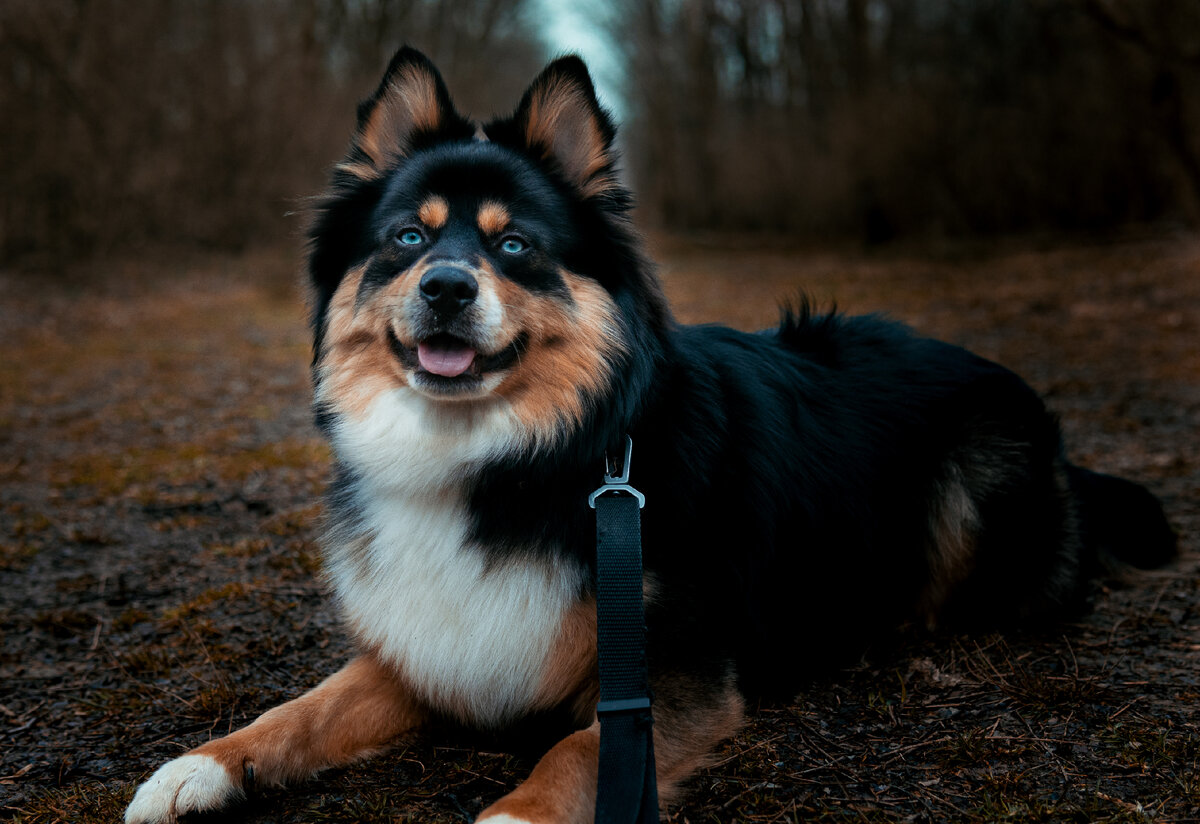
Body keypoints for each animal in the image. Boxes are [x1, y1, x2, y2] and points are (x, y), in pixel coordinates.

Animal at [126, 46, 1176, 824]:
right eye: (408, 239)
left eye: (514, 246)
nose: (447, 289)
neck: (518, 457)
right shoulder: (436, 646)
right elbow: (301, 708)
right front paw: (200, 767)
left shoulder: (675, 672)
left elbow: (578, 752)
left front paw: (512, 816)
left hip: (981, 492)